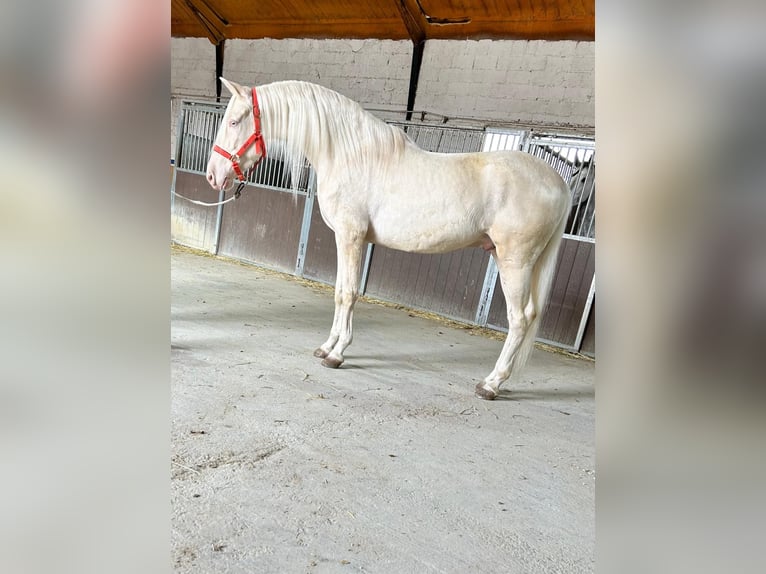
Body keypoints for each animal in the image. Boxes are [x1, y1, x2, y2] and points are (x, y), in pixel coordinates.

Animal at [207, 79, 572, 400]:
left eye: (235, 120)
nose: (213, 176)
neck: (350, 154)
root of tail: (558, 182)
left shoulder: (351, 236)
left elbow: (349, 294)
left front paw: (337, 354)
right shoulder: (345, 238)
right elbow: (340, 291)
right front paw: (326, 347)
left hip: (516, 262)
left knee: (520, 319)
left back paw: (491, 384)